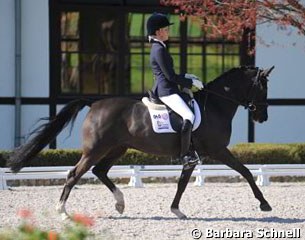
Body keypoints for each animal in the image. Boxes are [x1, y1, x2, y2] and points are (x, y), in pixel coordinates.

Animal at [7, 65, 274, 219]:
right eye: (263, 88)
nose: (262, 117)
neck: (216, 106)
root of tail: (94, 103)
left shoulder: (193, 157)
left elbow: (182, 183)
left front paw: (176, 210)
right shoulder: (218, 150)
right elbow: (245, 171)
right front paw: (264, 204)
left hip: (118, 148)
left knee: (99, 171)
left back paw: (120, 203)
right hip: (96, 149)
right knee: (75, 174)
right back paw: (62, 211)